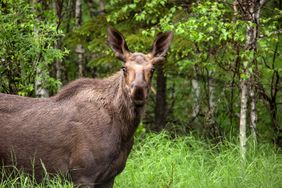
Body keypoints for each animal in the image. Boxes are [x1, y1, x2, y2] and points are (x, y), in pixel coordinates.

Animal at [0, 27, 173, 187]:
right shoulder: (82, 174)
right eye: (124, 68)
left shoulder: (109, 177)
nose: (138, 89)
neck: (124, 133)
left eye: (152, 69)